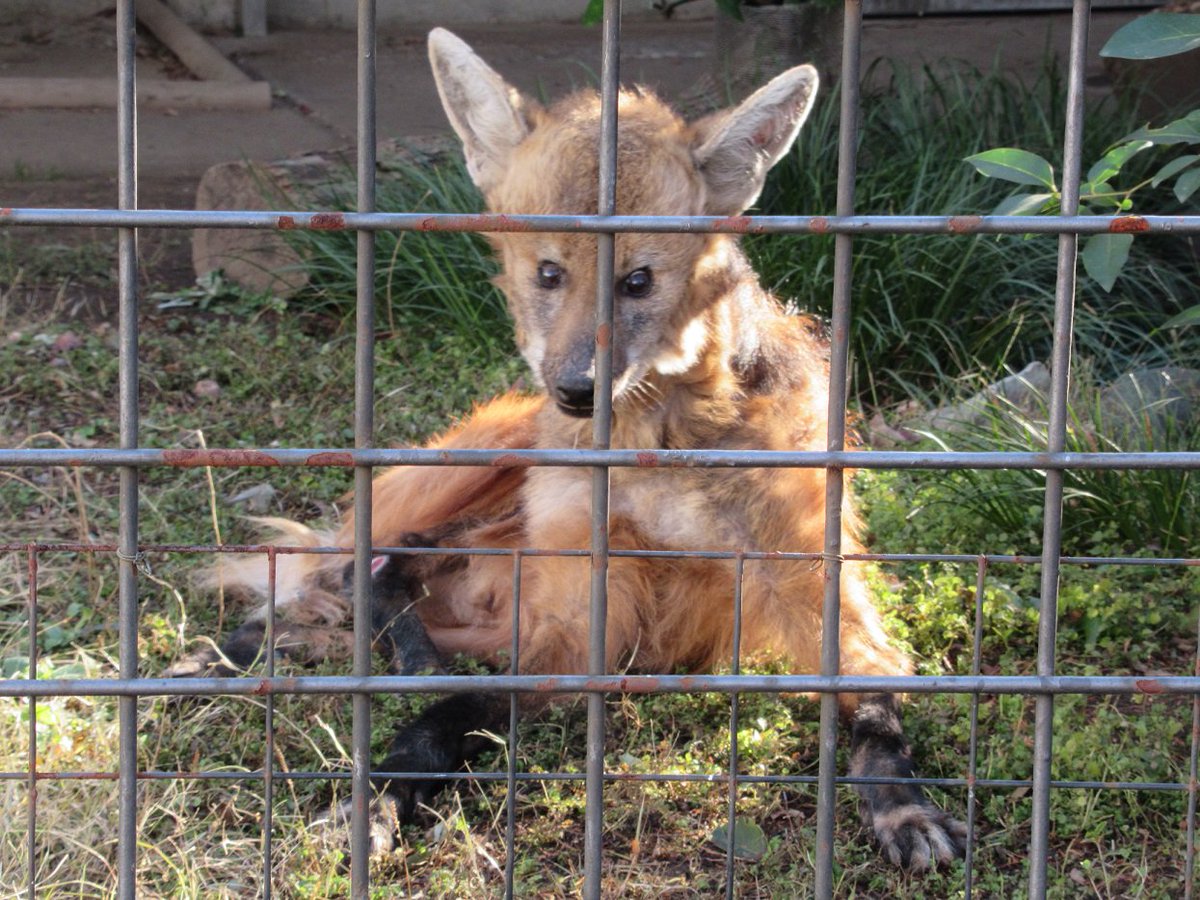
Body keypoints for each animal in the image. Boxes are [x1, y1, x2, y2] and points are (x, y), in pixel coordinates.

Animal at [174, 30, 969, 873]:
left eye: (637, 281)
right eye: (550, 273)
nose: (578, 391)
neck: (655, 451)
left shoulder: (802, 582)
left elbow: (875, 702)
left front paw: (904, 805)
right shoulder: (575, 618)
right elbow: (444, 718)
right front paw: (375, 802)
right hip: (488, 464)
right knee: (352, 566)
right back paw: (284, 652)